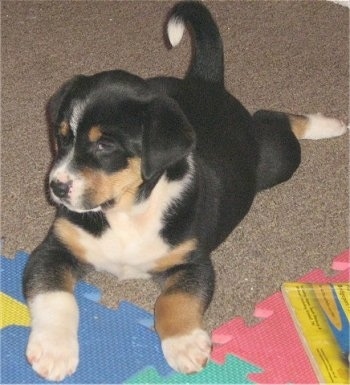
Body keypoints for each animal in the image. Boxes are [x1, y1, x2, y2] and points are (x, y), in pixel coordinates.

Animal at [22, 0, 348, 380]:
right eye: (62, 137)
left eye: (105, 146)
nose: (57, 187)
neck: (126, 212)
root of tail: (203, 81)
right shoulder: (54, 249)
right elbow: (55, 297)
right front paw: (54, 350)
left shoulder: (193, 260)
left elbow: (176, 300)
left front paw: (185, 344)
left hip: (275, 162)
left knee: (273, 118)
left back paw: (328, 124)